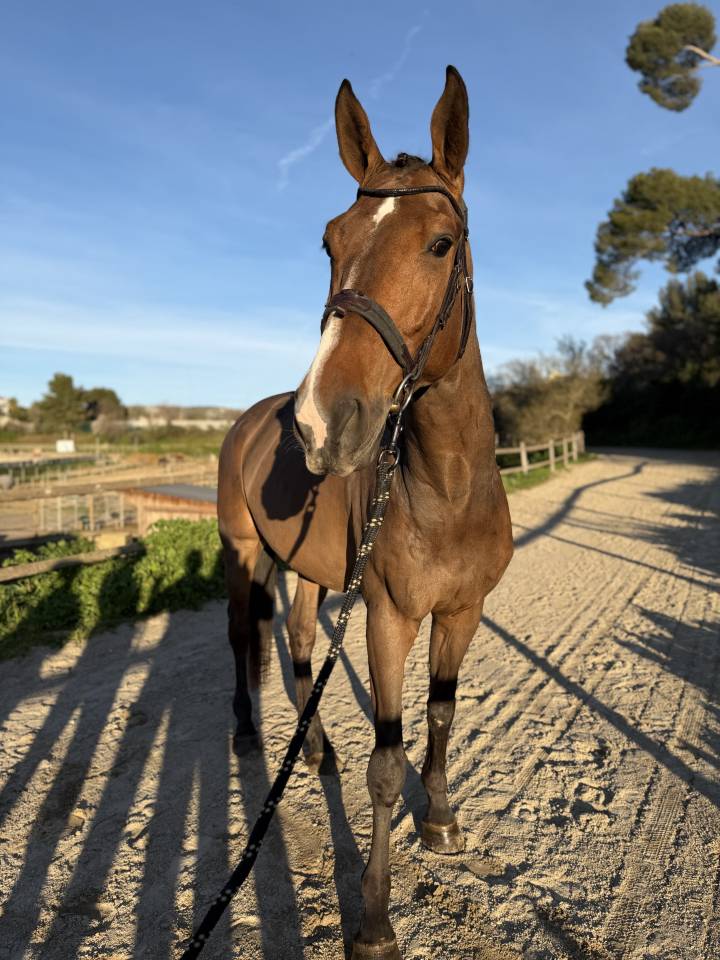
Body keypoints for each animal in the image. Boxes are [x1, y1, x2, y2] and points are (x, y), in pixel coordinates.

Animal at [217, 65, 513, 960]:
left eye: (441, 243)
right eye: (329, 241)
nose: (321, 422)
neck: (445, 489)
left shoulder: (461, 611)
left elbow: (442, 714)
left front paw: (442, 821)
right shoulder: (389, 617)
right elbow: (387, 760)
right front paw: (375, 920)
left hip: (308, 572)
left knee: (300, 649)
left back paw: (314, 752)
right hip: (244, 555)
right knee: (245, 638)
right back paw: (248, 735)